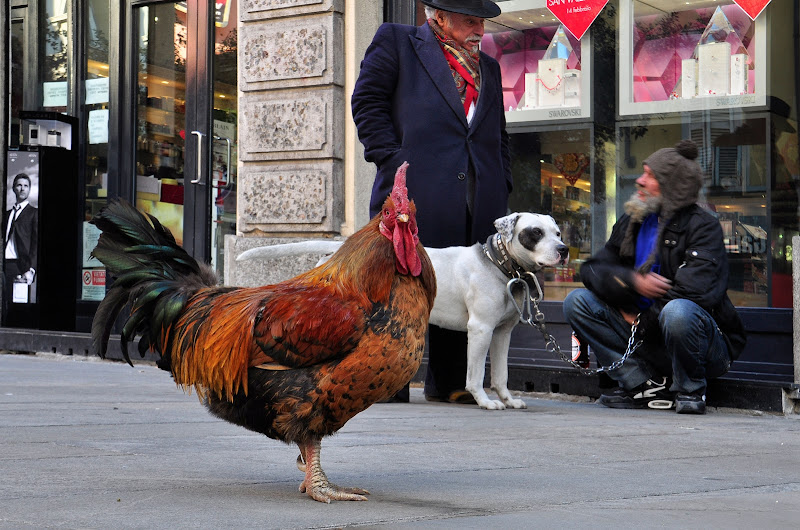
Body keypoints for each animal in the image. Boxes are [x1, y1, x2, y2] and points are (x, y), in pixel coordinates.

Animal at [238, 210, 568, 408]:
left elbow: (501, 374)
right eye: (535, 232)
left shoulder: (502, 333)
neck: (499, 265)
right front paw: (485, 401)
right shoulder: (481, 330)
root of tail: (337, 250)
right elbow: (475, 375)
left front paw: (508, 399)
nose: (564, 250)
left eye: (557, 232)